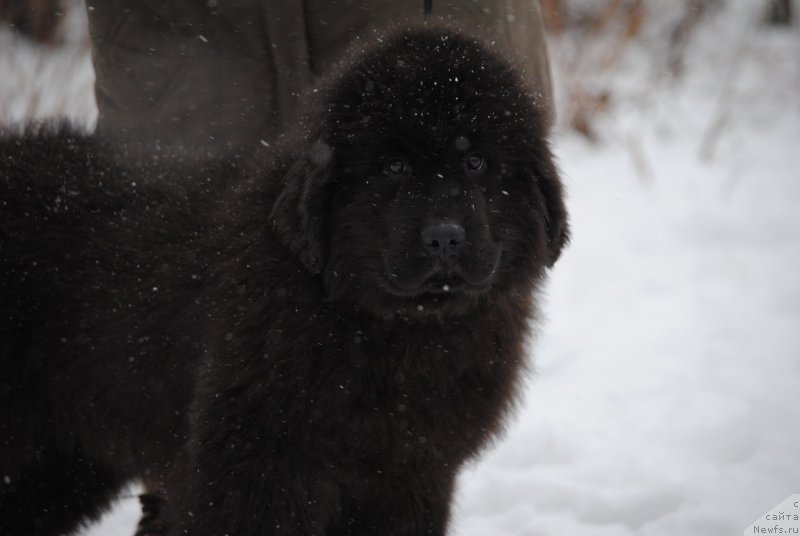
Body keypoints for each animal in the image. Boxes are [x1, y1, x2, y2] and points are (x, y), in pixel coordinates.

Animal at [0, 28, 568, 536]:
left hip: (65, 460)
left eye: (476, 162)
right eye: (393, 167)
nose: (445, 238)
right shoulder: (260, 464)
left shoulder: (410, 475)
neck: (391, 333)